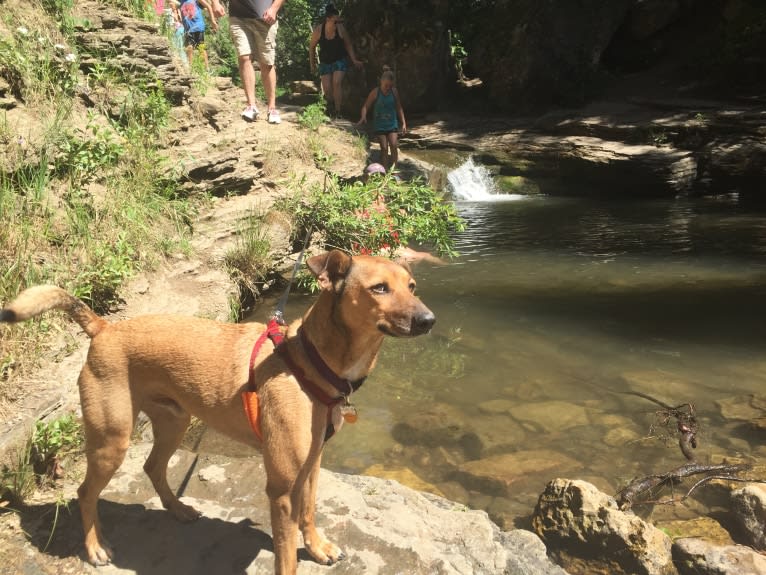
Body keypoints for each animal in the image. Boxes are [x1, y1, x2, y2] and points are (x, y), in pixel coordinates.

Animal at [0, 252, 438, 575]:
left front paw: (318, 547)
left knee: (153, 468)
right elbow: (285, 553)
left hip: (174, 423)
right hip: (112, 439)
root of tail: (103, 327)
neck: (309, 361)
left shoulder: (312, 462)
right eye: (379, 289)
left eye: (412, 287)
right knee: (85, 493)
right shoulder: (281, 486)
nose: (429, 320)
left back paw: (178, 509)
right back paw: (94, 547)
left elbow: (310, 512)